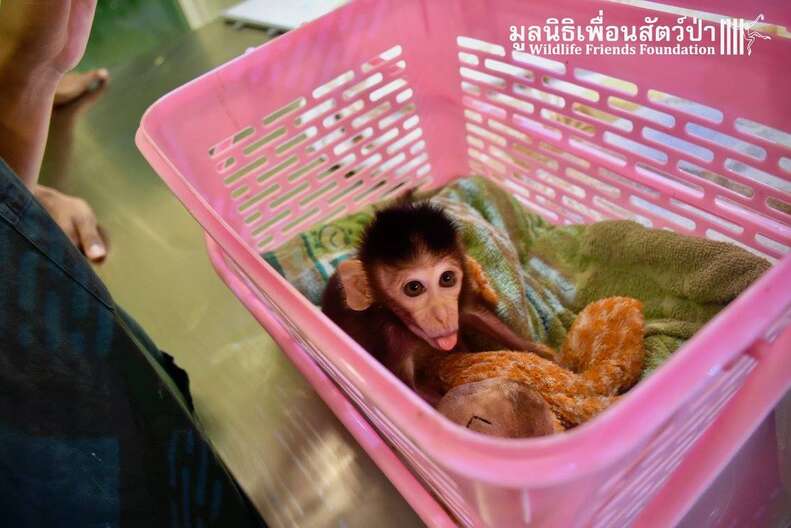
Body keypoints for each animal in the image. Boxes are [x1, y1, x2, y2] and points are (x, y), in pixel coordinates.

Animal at [322, 200, 552, 402]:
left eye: (447, 278)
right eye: (414, 288)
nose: (442, 315)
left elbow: (478, 315)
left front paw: (543, 354)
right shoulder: (389, 338)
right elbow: (414, 393)